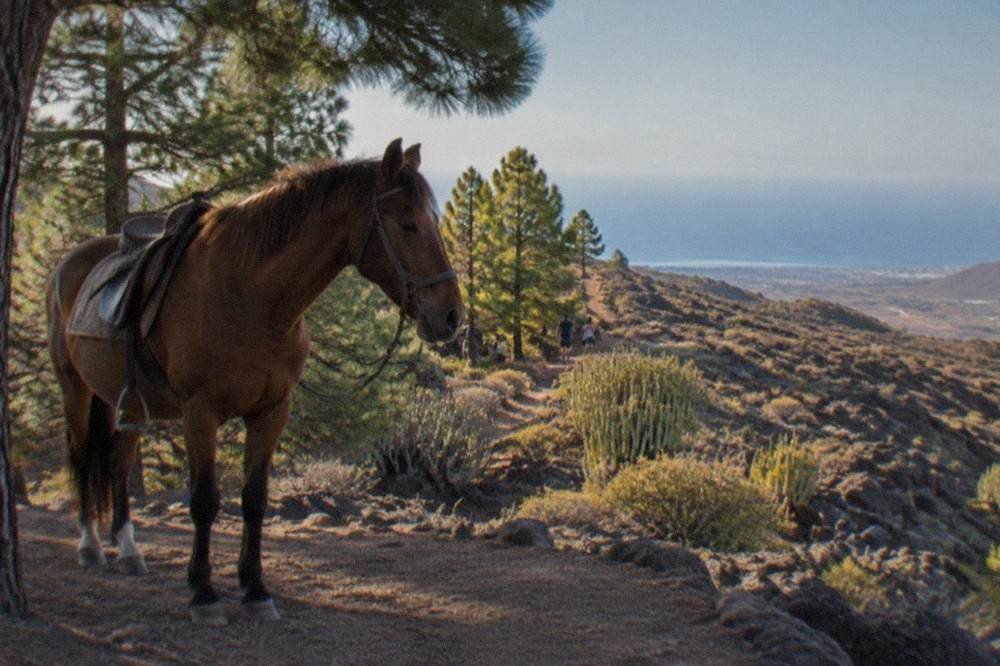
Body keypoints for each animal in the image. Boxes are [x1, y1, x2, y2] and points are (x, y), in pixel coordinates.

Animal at [46, 139, 463, 624]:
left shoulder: (271, 411)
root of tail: (70, 262)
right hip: (75, 388)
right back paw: (90, 544)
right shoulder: (200, 412)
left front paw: (255, 588)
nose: (451, 315)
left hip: (126, 402)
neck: (251, 297)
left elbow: (254, 500)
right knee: (80, 458)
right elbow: (204, 500)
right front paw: (203, 592)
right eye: (408, 224)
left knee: (115, 464)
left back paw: (129, 550)